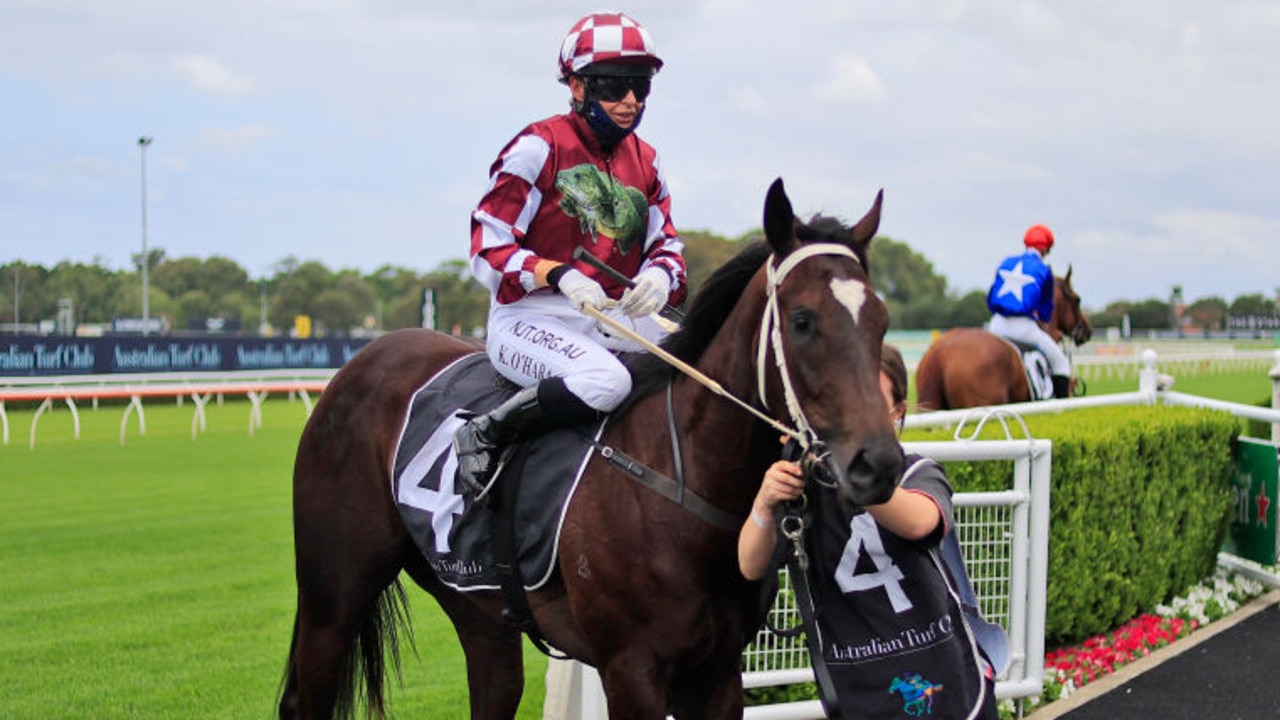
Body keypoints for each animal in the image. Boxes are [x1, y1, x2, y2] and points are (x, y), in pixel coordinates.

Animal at [276, 176, 906, 712]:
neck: (678, 478)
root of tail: (365, 358)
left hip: (478, 607)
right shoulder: (631, 670)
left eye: (880, 319)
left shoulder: (715, 674)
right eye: (802, 321)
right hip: (335, 593)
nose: (877, 463)